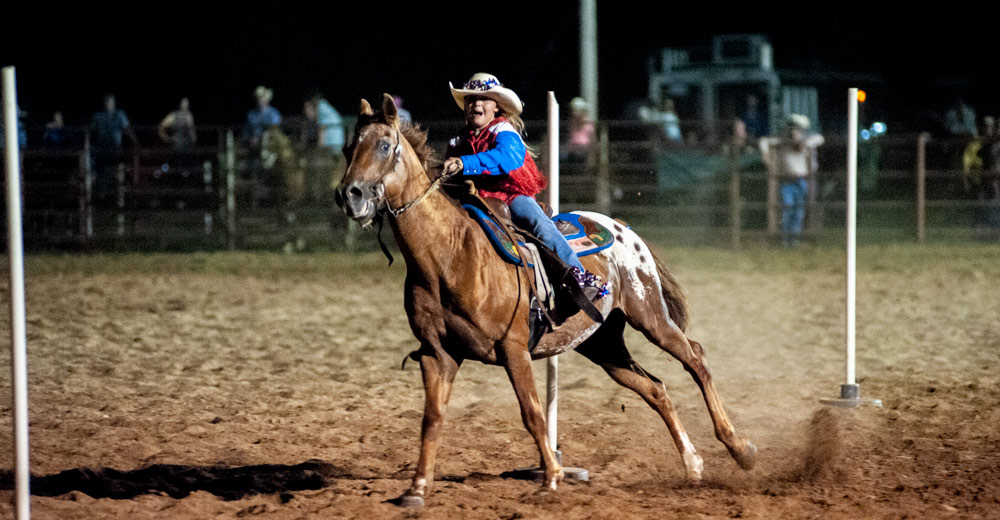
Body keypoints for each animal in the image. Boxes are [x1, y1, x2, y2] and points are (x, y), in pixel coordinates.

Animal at [336, 92, 756, 504]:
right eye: (347, 147)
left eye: (385, 145)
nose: (349, 195)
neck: (450, 254)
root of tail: (622, 228)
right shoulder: (438, 353)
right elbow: (432, 416)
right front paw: (418, 487)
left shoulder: (513, 348)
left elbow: (533, 413)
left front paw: (552, 476)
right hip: (602, 343)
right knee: (656, 389)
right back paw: (693, 465)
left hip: (649, 314)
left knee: (695, 359)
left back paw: (740, 449)